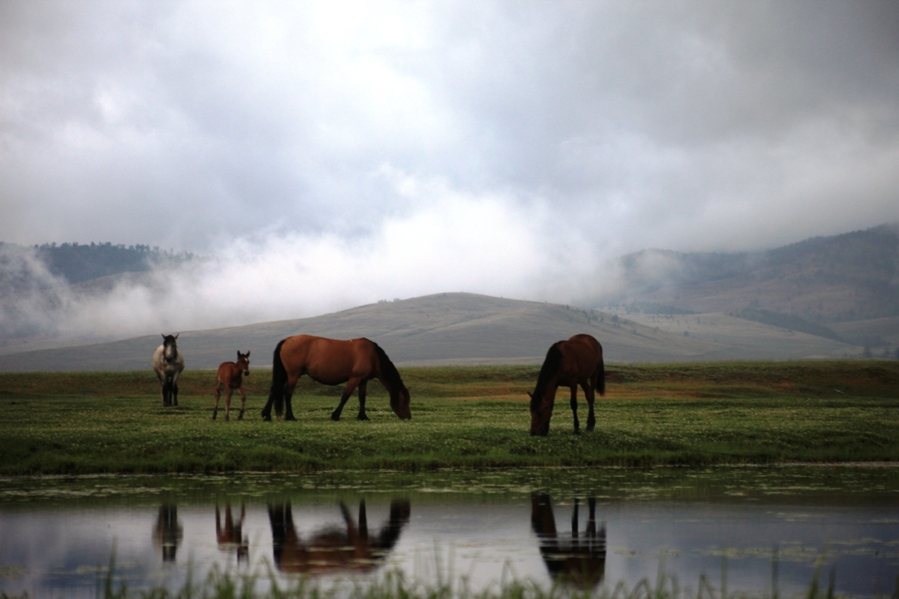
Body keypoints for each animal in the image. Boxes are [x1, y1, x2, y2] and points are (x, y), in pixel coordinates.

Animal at [262, 336, 414, 424]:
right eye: (403, 401)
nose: (408, 417)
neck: (373, 356)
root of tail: (287, 340)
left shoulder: (363, 380)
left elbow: (362, 398)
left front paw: (363, 416)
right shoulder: (354, 378)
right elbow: (345, 397)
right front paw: (335, 415)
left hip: (285, 374)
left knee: (274, 389)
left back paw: (266, 415)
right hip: (293, 375)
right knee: (287, 393)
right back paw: (290, 416)